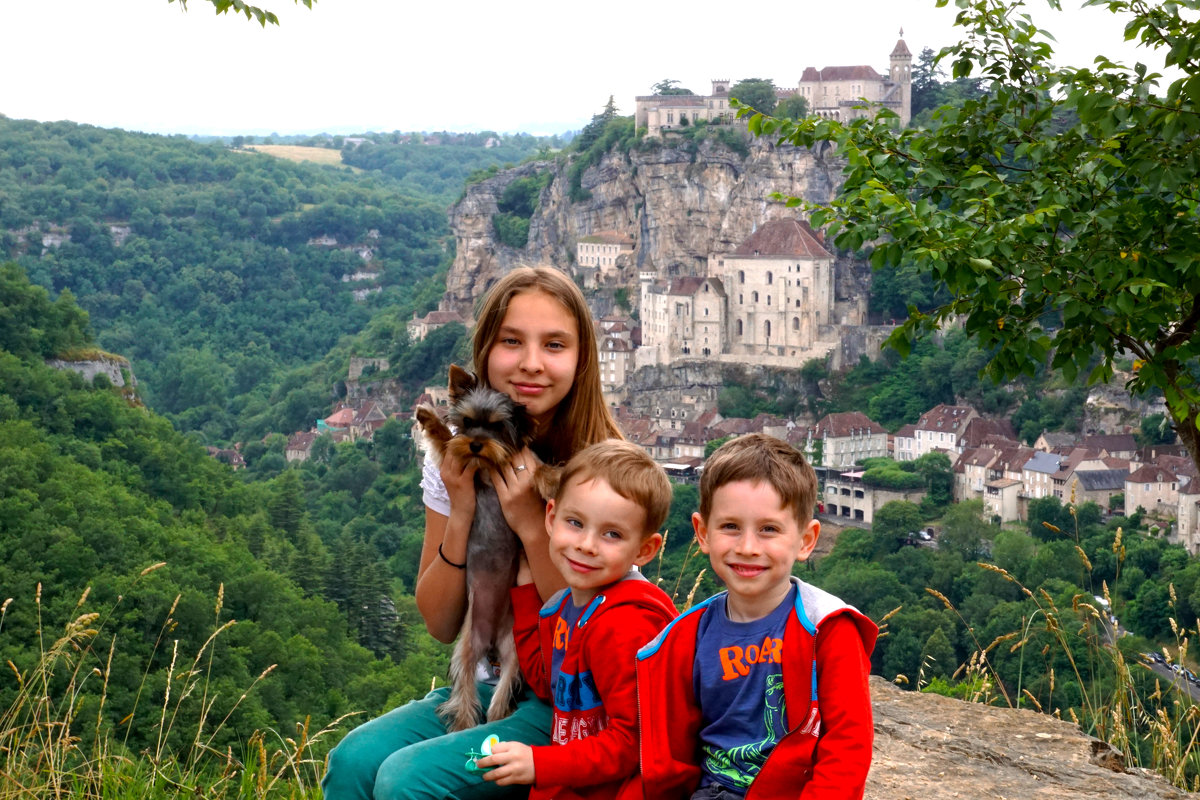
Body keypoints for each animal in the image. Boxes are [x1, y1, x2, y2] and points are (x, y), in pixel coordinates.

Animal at [417, 367, 556, 734]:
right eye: (467, 422)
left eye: (495, 426)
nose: (476, 443)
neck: (488, 465)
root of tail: (491, 641)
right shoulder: (463, 463)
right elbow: (446, 442)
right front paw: (430, 419)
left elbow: (538, 469)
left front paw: (553, 479)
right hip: (466, 650)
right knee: (465, 691)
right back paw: (465, 725)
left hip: (515, 655)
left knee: (499, 700)